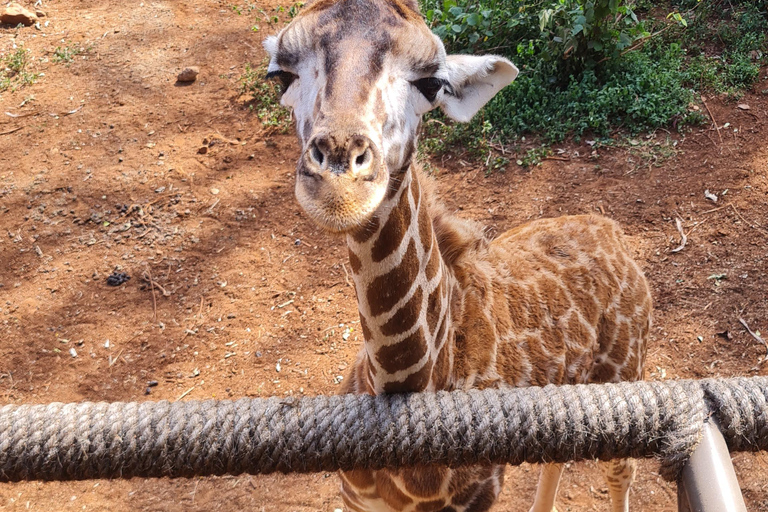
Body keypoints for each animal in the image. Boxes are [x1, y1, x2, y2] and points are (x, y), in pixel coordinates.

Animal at [263, 1, 652, 511]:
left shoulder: (476, 499)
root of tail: (613, 232)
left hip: (624, 375)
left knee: (620, 469)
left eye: (433, 83)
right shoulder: (355, 497)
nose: (338, 187)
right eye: (280, 75)